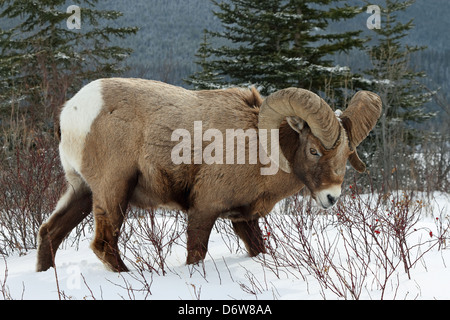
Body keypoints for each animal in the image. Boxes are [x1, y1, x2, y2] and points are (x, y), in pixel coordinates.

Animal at [36, 79, 380, 272]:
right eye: (313, 151)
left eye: (346, 155)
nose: (331, 197)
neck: (256, 146)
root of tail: (71, 113)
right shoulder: (204, 209)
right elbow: (196, 254)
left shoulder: (244, 219)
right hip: (114, 190)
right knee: (104, 244)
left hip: (81, 191)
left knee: (49, 232)